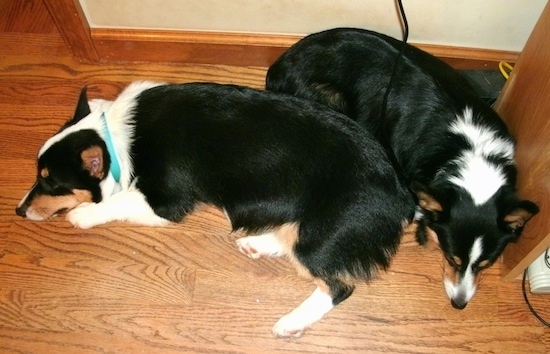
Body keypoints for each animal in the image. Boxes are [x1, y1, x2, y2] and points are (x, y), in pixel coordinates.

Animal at [15, 81, 416, 338]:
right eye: (39, 175)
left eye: (50, 183)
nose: (17, 211)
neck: (113, 139)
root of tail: (401, 193)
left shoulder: (164, 202)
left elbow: (115, 202)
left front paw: (81, 216)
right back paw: (257, 244)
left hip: (323, 234)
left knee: (337, 284)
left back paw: (291, 322)